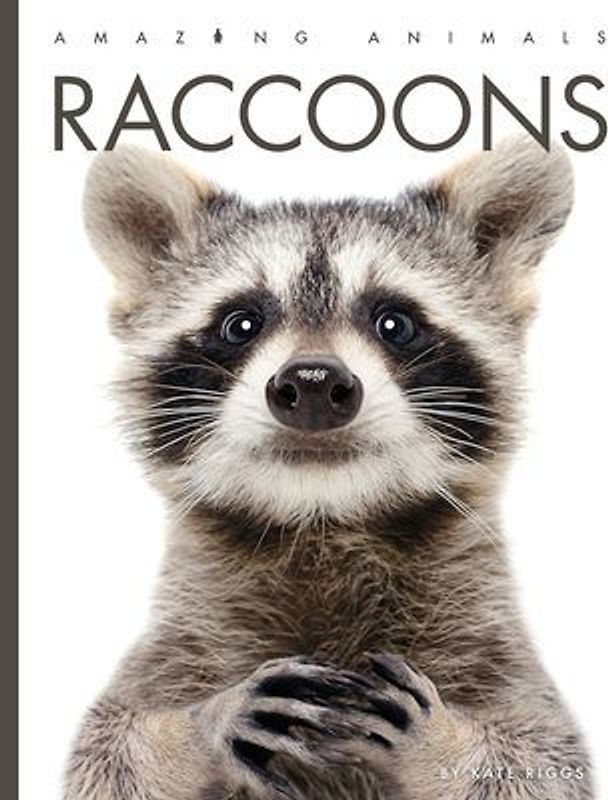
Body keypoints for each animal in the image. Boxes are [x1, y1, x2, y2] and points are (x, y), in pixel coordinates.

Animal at [64, 138, 592, 800]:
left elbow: (546, 763)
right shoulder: (173, 648)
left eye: (394, 322)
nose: (313, 384)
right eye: (241, 323)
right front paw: (194, 729)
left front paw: (442, 745)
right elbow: (105, 752)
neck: (322, 522)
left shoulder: (498, 655)